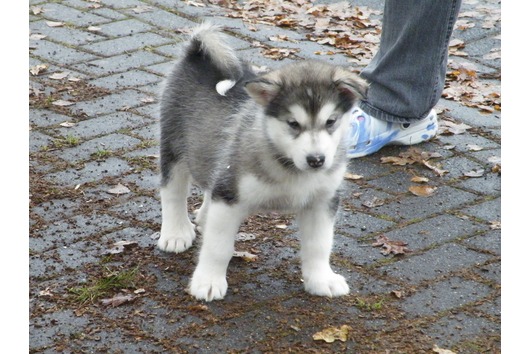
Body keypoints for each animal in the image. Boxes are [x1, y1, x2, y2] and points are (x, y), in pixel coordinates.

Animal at [157, 23, 366, 302]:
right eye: (293, 124)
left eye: (331, 122)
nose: (316, 160)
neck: (290, 168)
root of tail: (197, 53)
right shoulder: (229, 197)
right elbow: (218, 246)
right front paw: (208, 282)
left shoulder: (323, 201)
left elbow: (319, 245)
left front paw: (322, 280)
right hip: (174, 145)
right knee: (173, 191)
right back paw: (175, 233)